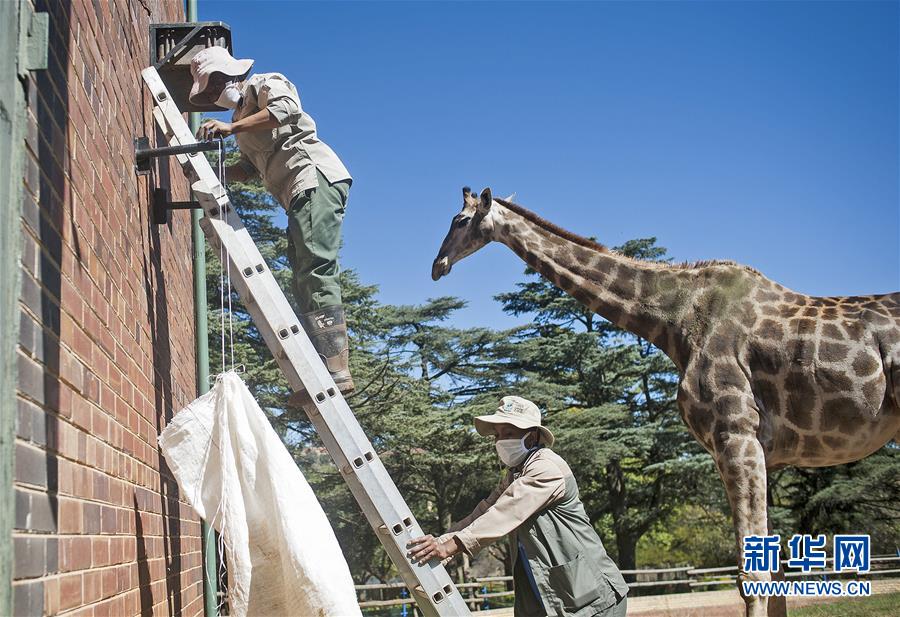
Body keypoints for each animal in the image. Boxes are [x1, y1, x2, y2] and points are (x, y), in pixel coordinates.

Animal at [428, 188, 900, 616]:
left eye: (459, 220)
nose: (437, 265)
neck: (676, 320)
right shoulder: (766, 453)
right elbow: (776, 570)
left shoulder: (736, 435)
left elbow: (752, 574)